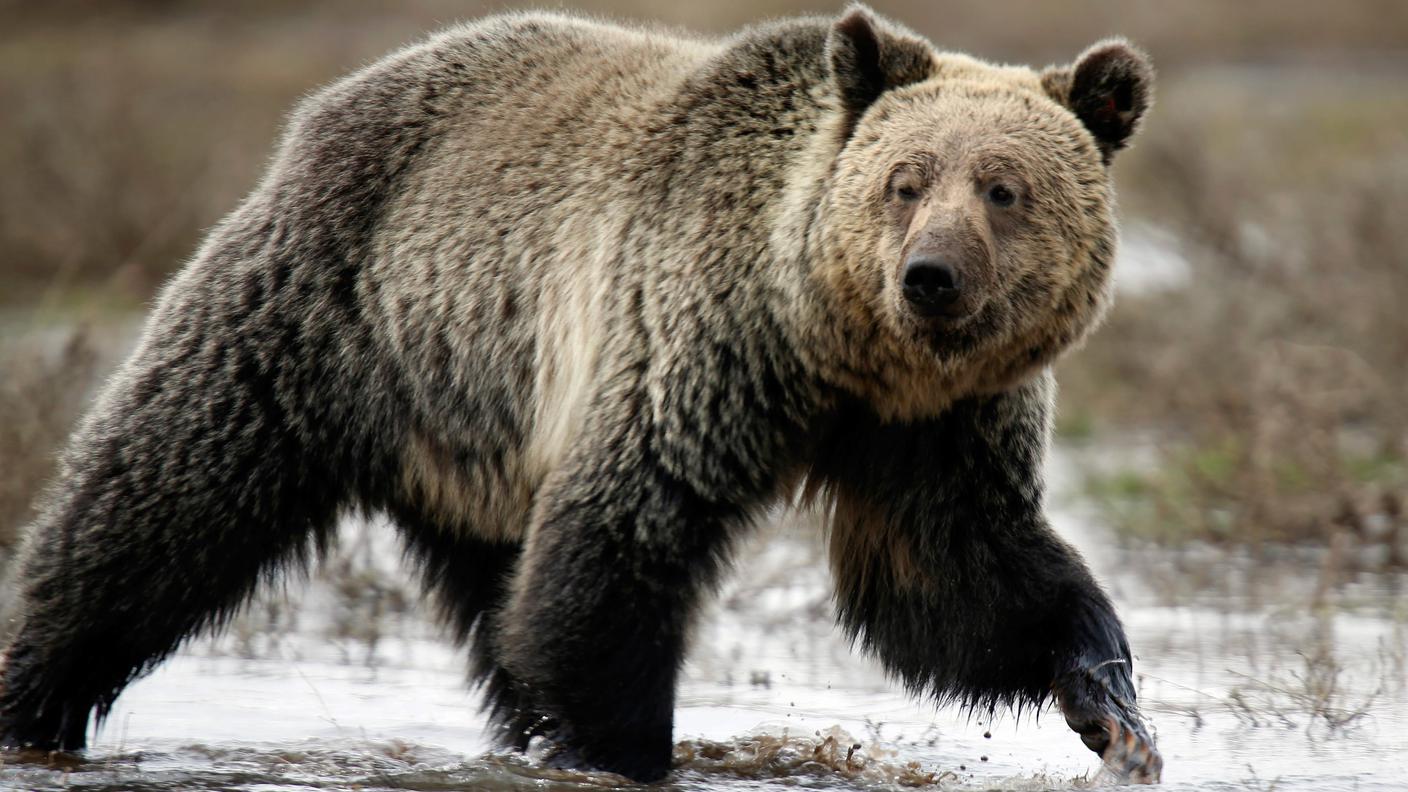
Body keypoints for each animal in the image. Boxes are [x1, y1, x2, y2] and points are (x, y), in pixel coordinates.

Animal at [0, 3, 1160, 783]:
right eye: (905, 180)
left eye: (1004, 189)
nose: (930, 276)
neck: (837, 350)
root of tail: (331, 102)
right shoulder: (695, 343)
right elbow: (621, 541)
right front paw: (623, 747)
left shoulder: (935, 428)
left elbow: (954, 578)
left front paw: (1111, 700)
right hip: (327, 315)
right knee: (158, 504)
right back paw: (34, 695)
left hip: (476, 428)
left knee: (498, 599)